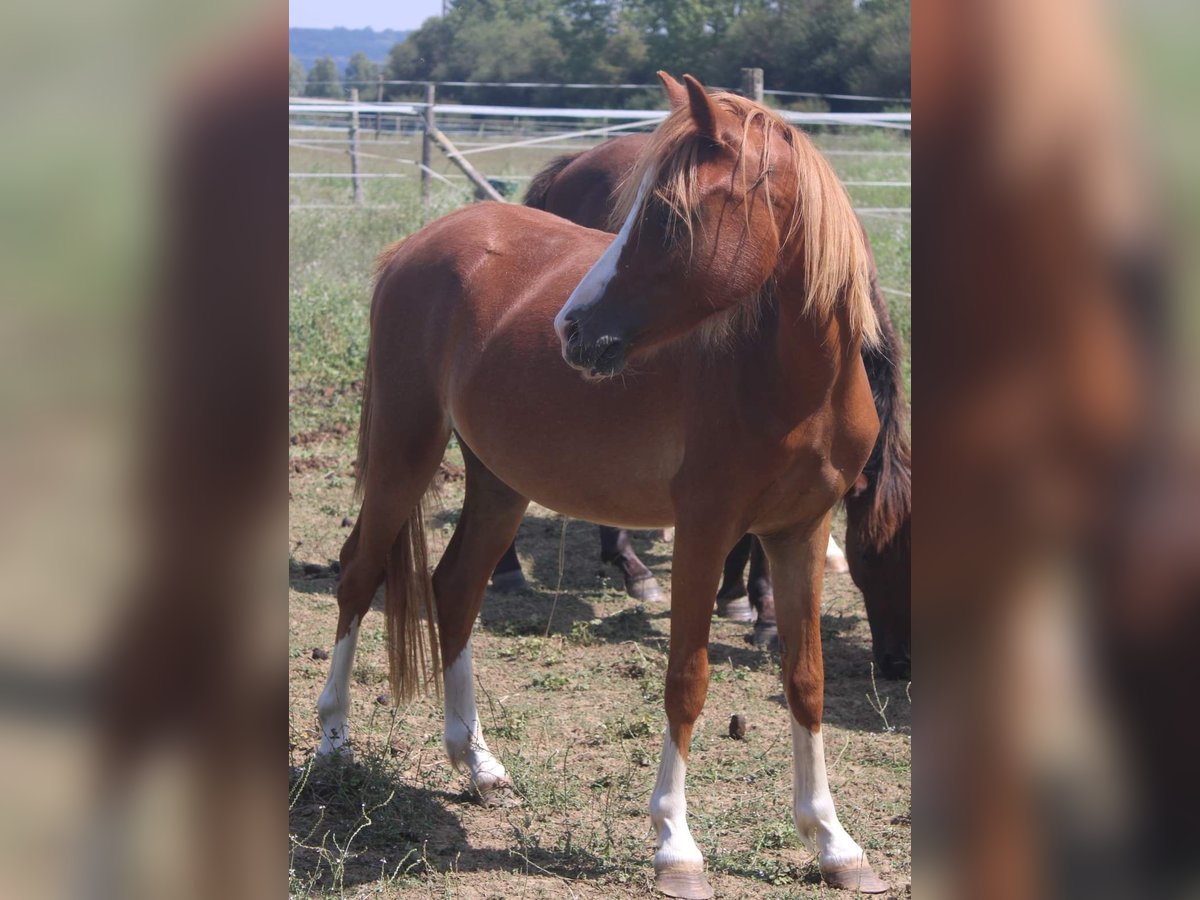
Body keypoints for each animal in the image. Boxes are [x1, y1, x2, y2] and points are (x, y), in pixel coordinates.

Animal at [501, 127, 912, 676]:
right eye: (872, 556)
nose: (899, 664)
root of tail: (577, 160)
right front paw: (759, 610)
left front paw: (739, 596)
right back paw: (612, 568)